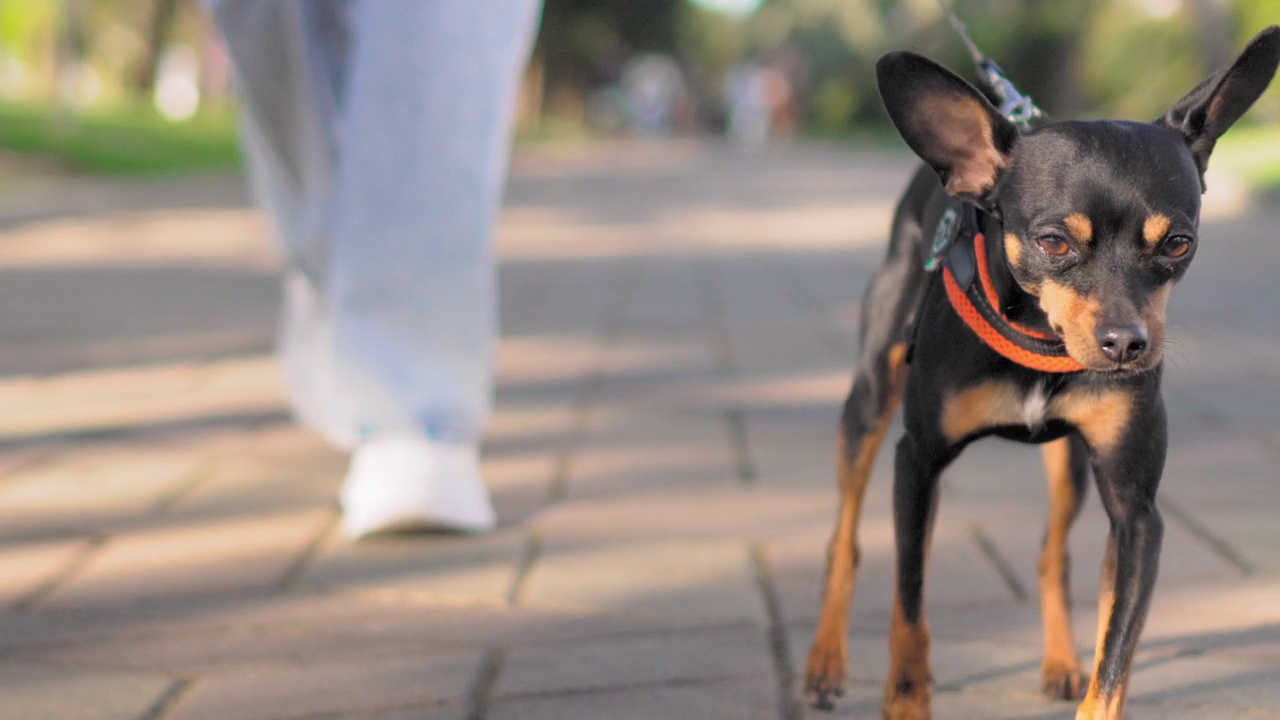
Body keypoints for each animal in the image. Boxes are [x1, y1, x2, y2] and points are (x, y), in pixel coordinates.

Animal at [808, 25, 1280, 712]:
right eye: (1053, 242)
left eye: (1178, 243)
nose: (1126, 345)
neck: (1038, 339)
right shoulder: (917, 462)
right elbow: (909, 612)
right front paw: (906, 702)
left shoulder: (1136, 514)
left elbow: (1114, 659)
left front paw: (1090, 680)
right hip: (870, 401)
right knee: (844, 538)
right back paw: (824, 660)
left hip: (1069, 469)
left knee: (1051, 556)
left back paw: (1060, 662)